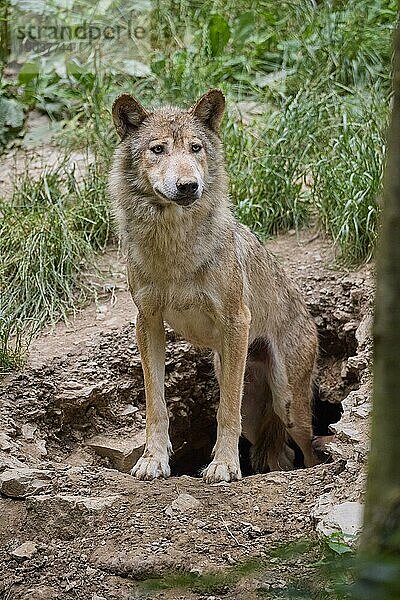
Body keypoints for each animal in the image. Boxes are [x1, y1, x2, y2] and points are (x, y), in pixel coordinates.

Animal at [108, 88, 320, 482]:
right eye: (158, 149)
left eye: (195, 148)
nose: (188, 185)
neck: (174, 247)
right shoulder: (147, 322)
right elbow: (156, 405)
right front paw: (154, 459)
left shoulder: (236, 320)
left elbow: (225, 411)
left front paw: (223, 466)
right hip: (246, 396)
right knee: (280, 454)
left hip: (287, 403)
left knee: (308, 450)